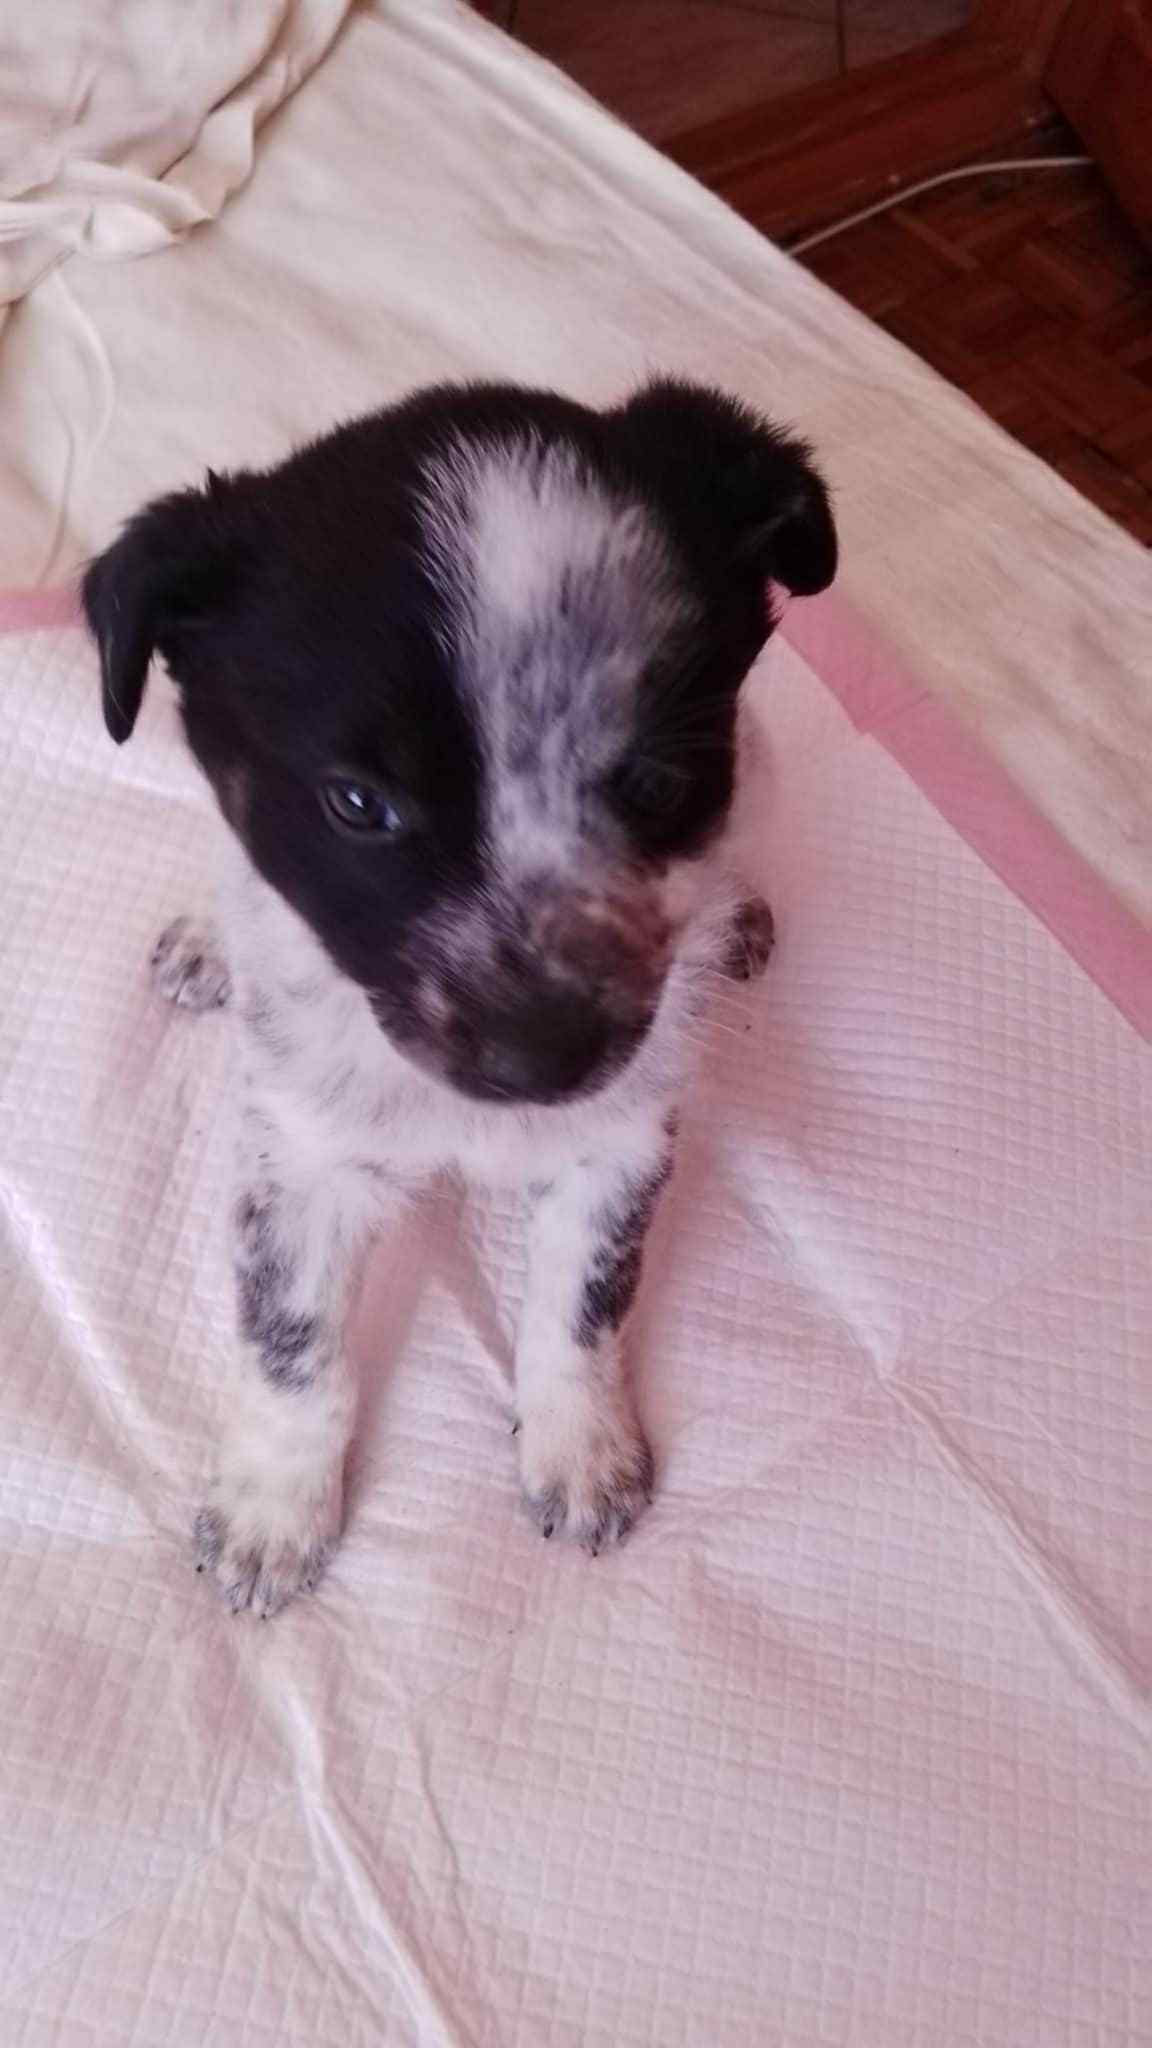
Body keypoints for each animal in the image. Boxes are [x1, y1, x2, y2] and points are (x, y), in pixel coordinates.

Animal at [83, 377, 836, 1617]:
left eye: (658, 782)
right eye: (357, 802)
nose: (548, 1059)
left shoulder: (622, 1135)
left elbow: (583, 1300)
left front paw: (579, 1445)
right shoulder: (300, 1154)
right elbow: (292, 1338)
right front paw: (274, 1507)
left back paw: (736, 920)